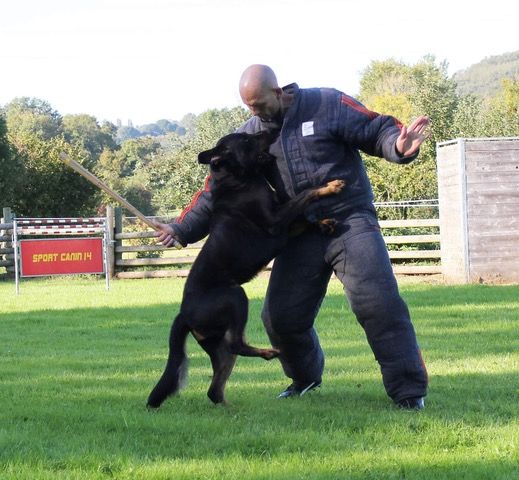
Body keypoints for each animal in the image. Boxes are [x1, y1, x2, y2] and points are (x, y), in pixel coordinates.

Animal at [147, 129, 346, 406]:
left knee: (215, 387)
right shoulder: (275, 222)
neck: (239, 180)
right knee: (235, 345)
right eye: (247, 140)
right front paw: (330, 187)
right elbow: (304, 196)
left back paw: (229, 405)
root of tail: (183, 315)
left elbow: (305, 220)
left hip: (217, 346)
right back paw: (269, 353)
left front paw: (325, 224)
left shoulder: (283, 228)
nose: (271, 130)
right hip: (235, 297)